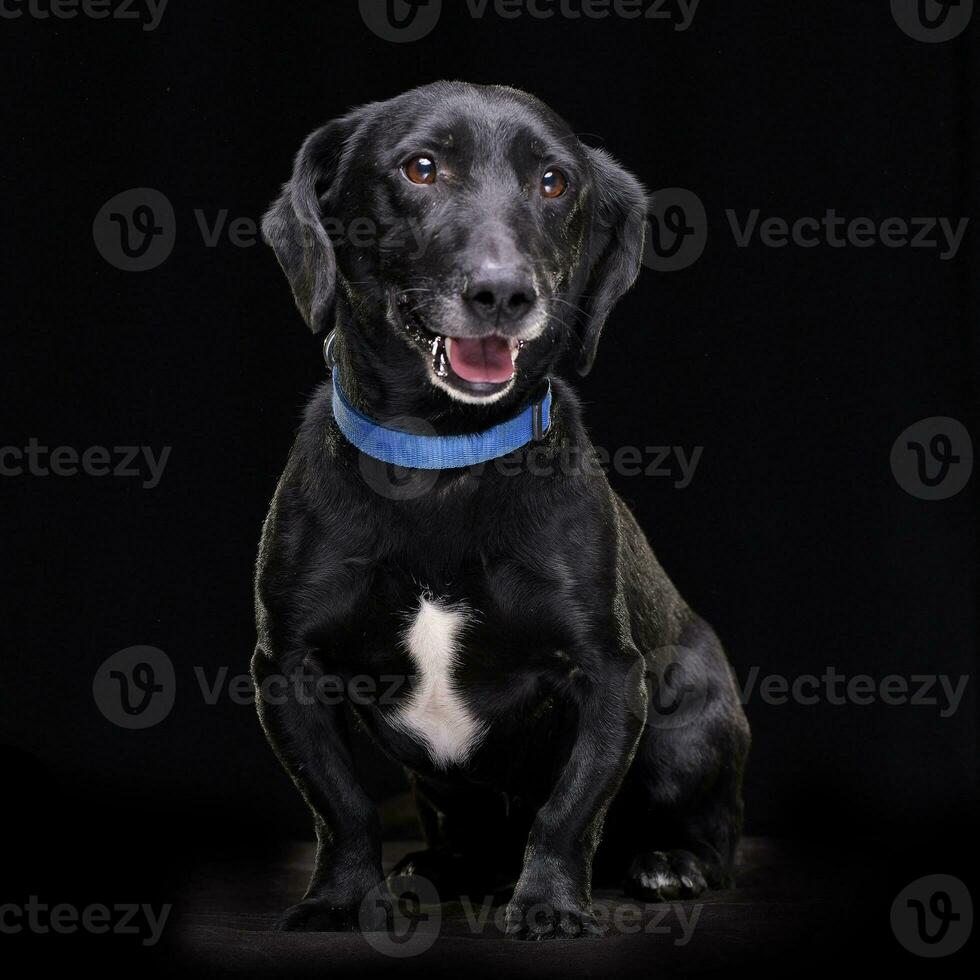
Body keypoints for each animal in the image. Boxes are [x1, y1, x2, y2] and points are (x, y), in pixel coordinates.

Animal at [253, 80, 752, 936]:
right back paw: (444, 868)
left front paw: (549, 904)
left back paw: (669, 864)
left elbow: (568, 812)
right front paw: (340, 900)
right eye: (421, 167)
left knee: (709, 836)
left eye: (554, 182)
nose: (504, 293)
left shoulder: (609, 676)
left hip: (692, 726)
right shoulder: (287, 670)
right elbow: (341, 807)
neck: (441, 464)